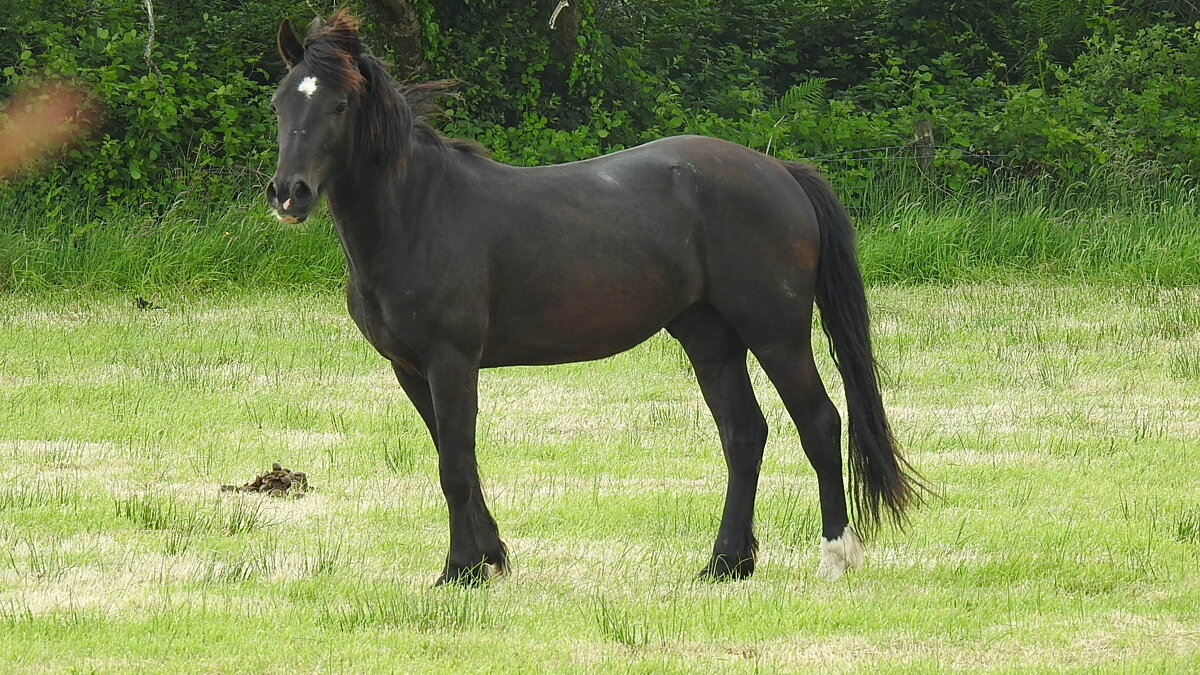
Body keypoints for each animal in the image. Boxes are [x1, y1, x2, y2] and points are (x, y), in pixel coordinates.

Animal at [265, 13, 916, 586]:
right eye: (280, 104)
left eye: (339, 106)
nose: (288, 194)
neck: (418, 212)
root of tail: (779, 171)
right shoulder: (409, 369)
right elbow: (461, 464)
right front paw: (490, 560)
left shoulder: (451, 362)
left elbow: (454, 468)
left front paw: (458, 571)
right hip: (709, 336)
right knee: (743, 434)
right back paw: (726, 563)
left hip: (775, 332)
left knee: (819, 423)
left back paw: (834, 557)